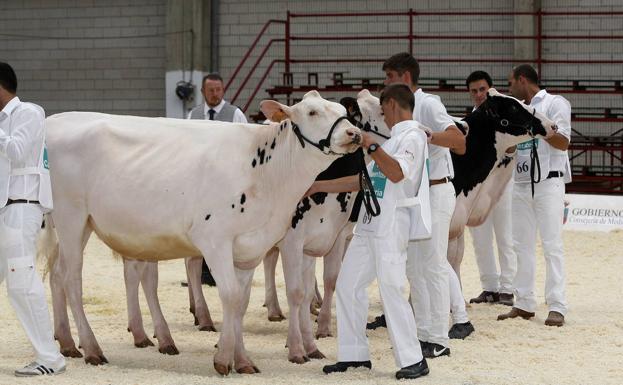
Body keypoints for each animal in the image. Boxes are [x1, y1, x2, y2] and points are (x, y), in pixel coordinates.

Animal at [41, 91, 360, 374]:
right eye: (312, 112)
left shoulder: (250, 248)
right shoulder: (215, 240)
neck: (266, 173)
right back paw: (92, 348)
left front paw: (242, 360)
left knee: (58, 273)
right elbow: (230, 295)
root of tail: (54, 121)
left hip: (81, 224)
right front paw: (223, 359)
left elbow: (241, 302)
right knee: (72, 279)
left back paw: (68, 342)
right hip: (71, 216)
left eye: (342, 111)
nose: (354, 133)